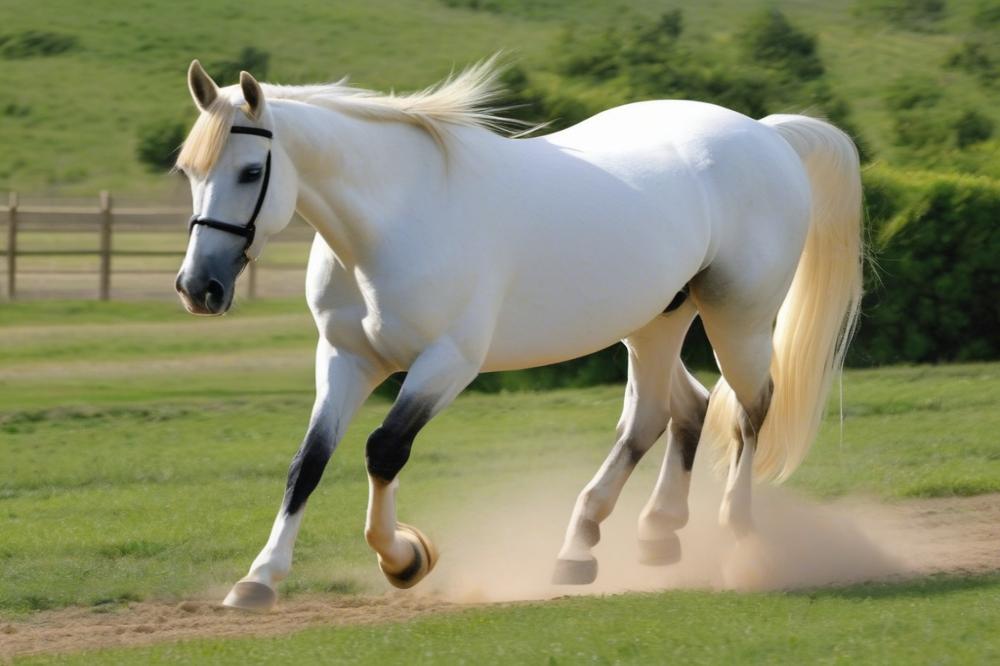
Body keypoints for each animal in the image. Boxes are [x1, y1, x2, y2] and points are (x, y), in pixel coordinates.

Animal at [172, 57, 860, 608]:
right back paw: (621, 540)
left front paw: (405, 559)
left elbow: (384, 449)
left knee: (746, 409)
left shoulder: (446, 363)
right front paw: (259, 579)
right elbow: (308, 461)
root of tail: (765, 134)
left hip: (737, 320)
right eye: (187, 171)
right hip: (654, 323)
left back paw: (737, 540)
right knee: (669, 411)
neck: (394, 221)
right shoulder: (346, 358)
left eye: (250, 170)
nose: (197, 287)